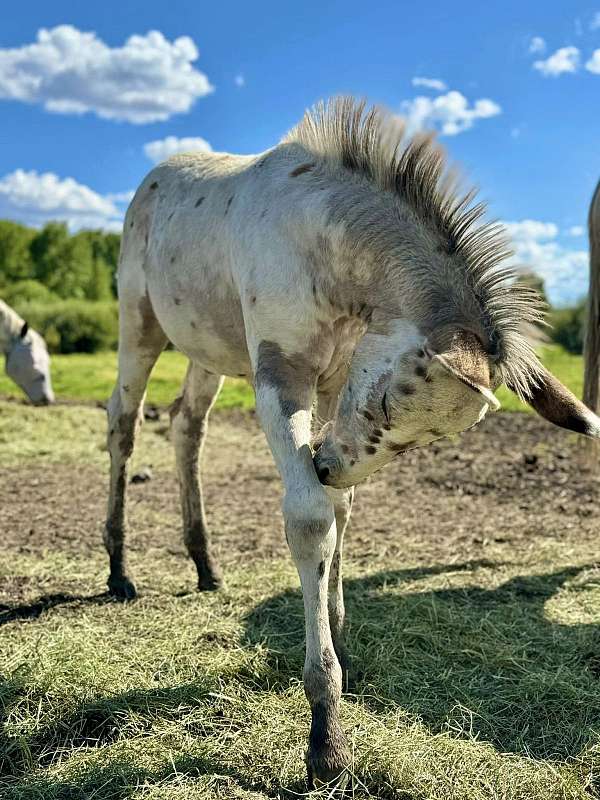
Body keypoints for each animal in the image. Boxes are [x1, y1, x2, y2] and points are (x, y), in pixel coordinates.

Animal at [104, 100, 600, 788]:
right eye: (389, 404)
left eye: (432, 440)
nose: (329, 464)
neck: (319, 242)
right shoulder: (281, 376)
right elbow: (312, 519)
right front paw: (326, 737)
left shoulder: (336, 380)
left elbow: (341, 511)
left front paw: (338, 634)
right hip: (139, 325)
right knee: (123, 425)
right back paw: (119, 570)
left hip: (209, 347)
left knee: (187, 426)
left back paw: (205, 565)